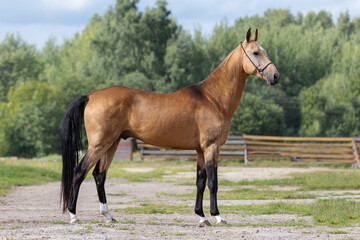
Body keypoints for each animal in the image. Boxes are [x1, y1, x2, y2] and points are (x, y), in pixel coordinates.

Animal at [59, 29, 278, 226]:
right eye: (255, 52)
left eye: (264, 50)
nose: (275, 76)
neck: (213, 98)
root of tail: (91, 96)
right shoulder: (211, 147)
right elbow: (213, 183)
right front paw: (217, 216)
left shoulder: (200, 150)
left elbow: (200, 182)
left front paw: (201, 216)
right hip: (98, 145)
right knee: (79, 172)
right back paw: (74, 215)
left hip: (111, 144)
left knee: (99, 175)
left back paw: (108, 215)